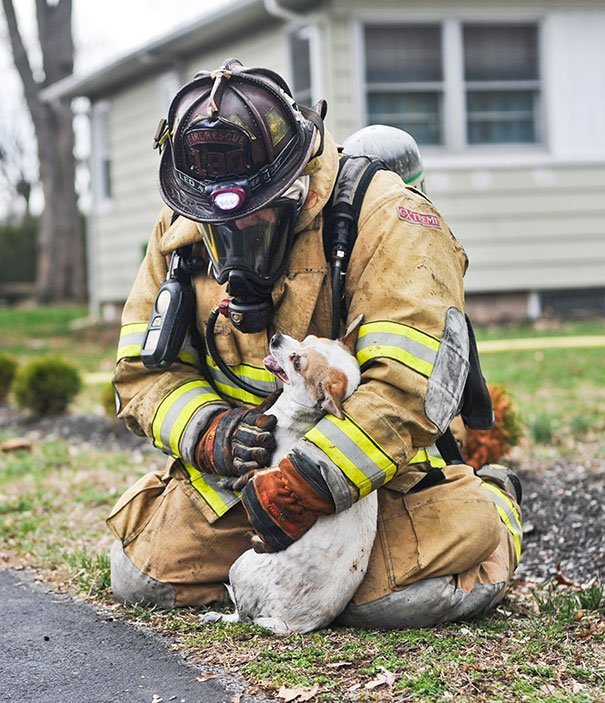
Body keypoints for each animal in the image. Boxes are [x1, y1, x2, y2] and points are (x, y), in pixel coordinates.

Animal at [201, 316, 376, 636]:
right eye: (308, 339)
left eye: (297, 361)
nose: (276, 338)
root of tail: (291, 624)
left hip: (241, 565)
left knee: (243, 615)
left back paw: (218, 615)